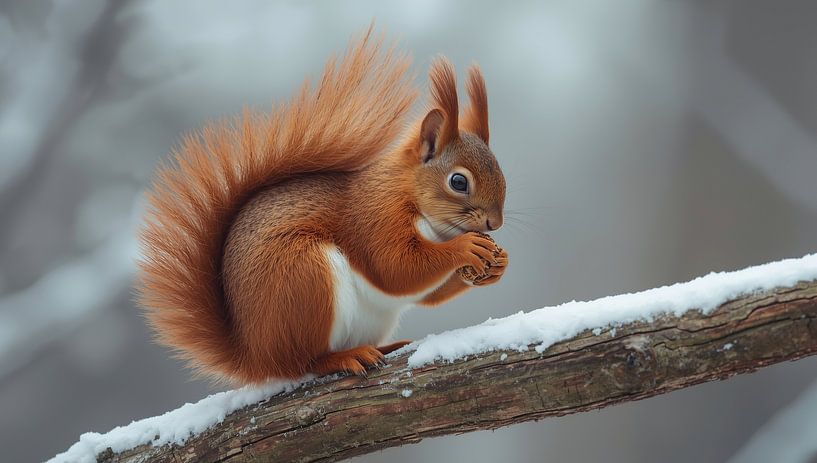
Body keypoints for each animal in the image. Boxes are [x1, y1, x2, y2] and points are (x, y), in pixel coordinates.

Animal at [137, 29, 508, 384]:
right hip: (302, 275)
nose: (495, 223)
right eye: (458, 182)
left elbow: (426, 293)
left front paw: (497, 264)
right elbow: (395, 268)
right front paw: (465, 247)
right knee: (302, 363)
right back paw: (344, 357)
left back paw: (382, 348)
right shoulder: (376, 217)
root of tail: (254, 356)